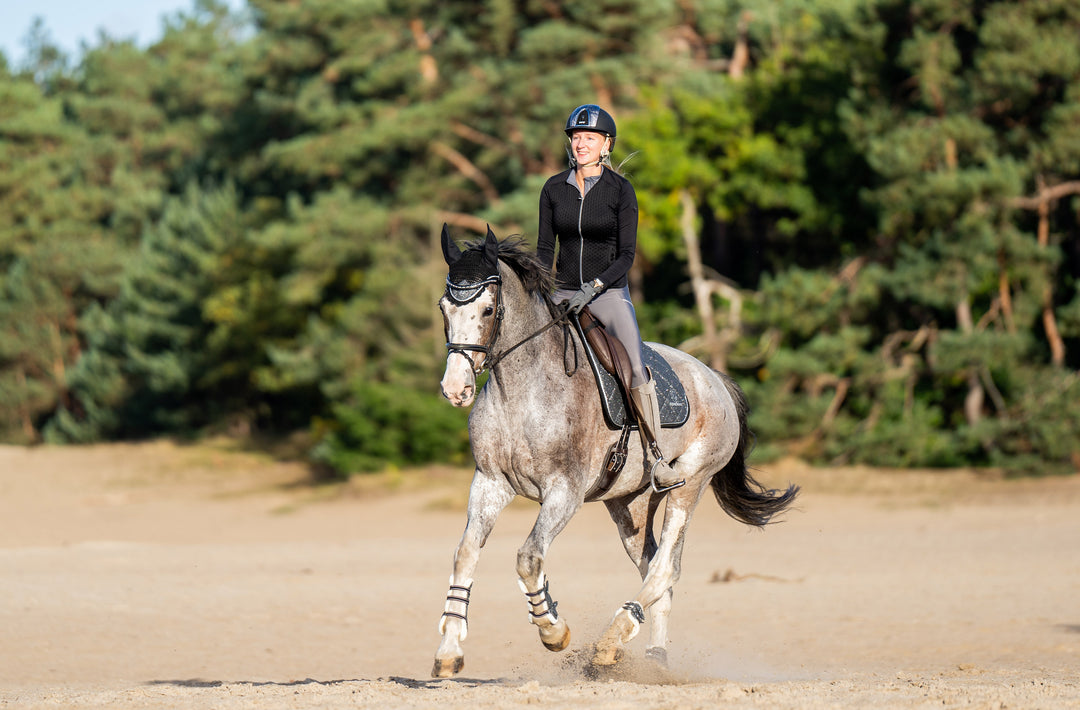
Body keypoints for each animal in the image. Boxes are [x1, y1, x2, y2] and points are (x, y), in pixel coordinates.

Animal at [434, 225, 799, 674]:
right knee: (656, 566)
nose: (455, 389)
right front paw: (449, 650)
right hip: (630, 505)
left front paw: (554, 631)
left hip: (690, 483)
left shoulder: (564, 492)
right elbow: (465, 554)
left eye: (487, 310)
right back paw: (654, 659)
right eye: (444, 307)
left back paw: (611, 640)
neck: (518, 390)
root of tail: (715, 378)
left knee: (663, 567)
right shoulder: (489, 483)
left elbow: (529, 557)